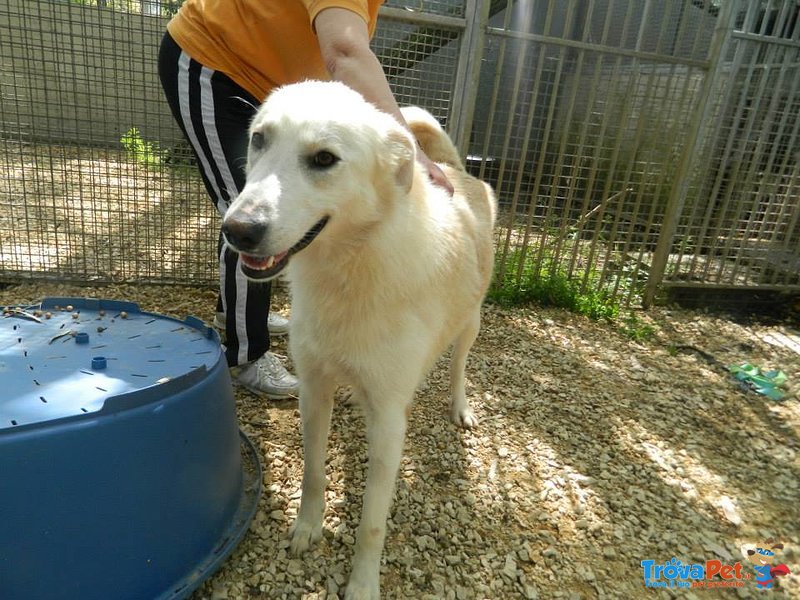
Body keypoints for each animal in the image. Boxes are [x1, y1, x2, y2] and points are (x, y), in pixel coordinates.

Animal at [219, 81, 494, 600]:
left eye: (324, 159)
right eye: (259, 139)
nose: (237, 231)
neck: (349, 268)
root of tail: (456, 169)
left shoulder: (388, 423)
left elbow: (372, 522)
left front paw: (363, 583)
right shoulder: (313, 390)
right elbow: (312, 472)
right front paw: (308, 528)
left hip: (470, 324)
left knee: (459, 366)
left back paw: (460, 405)